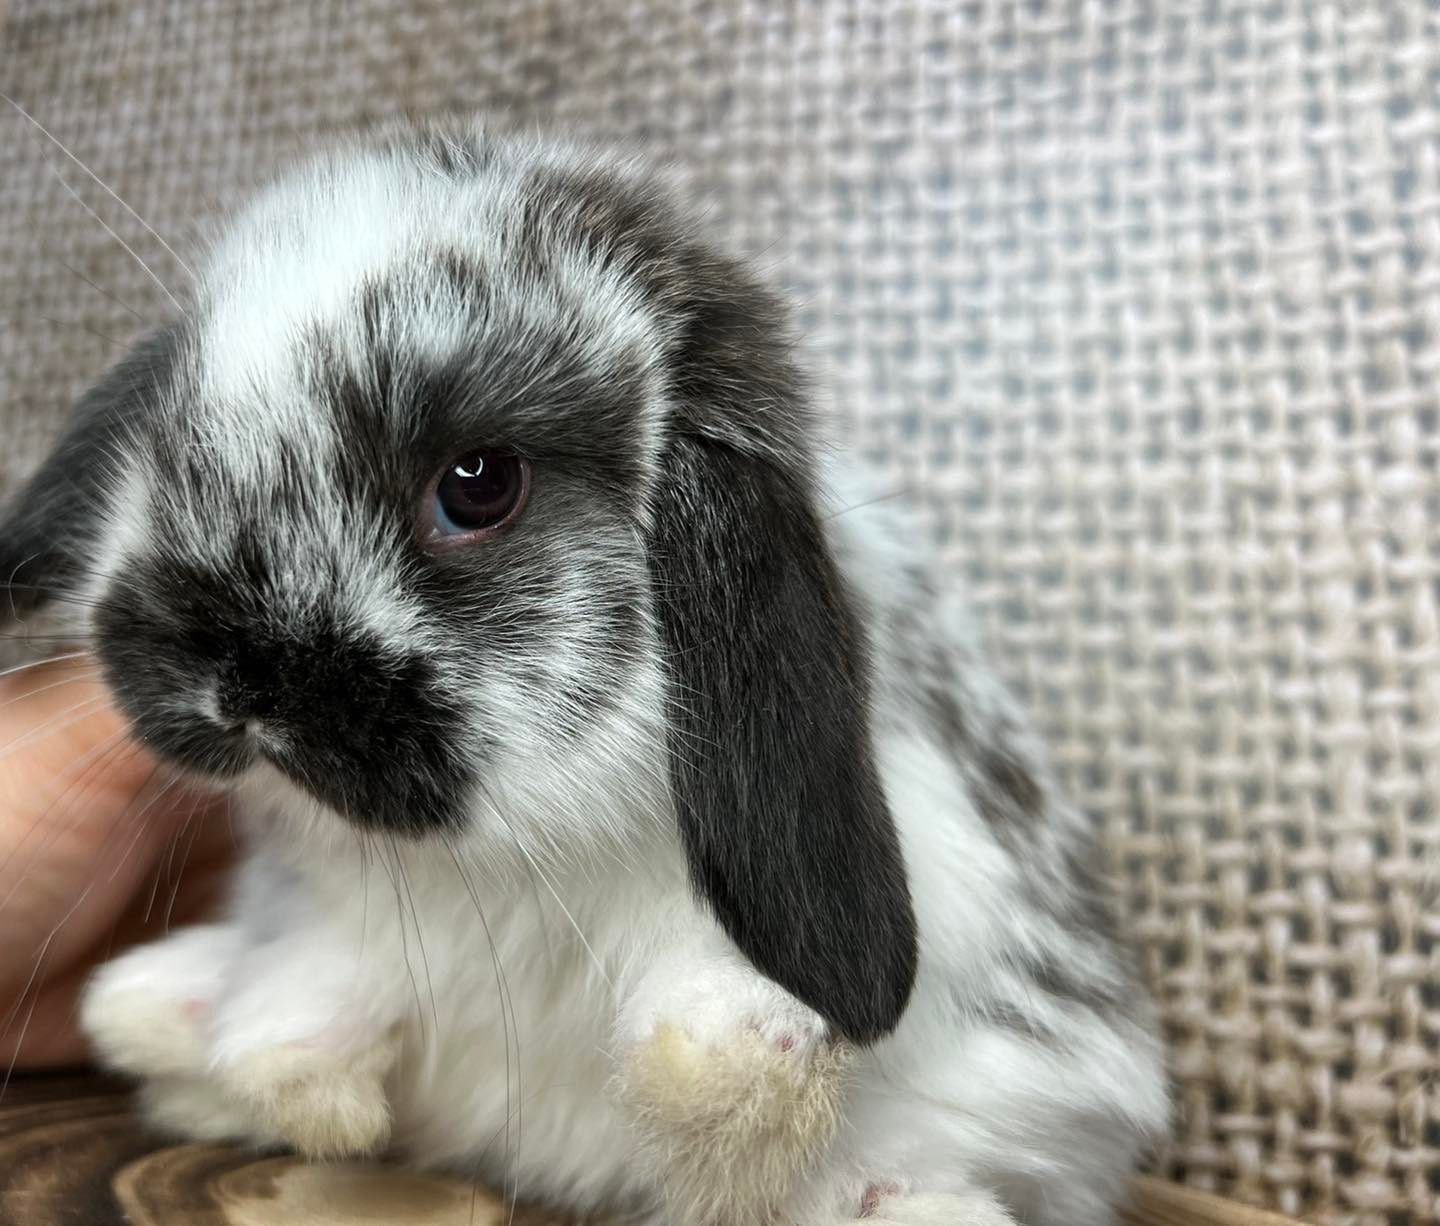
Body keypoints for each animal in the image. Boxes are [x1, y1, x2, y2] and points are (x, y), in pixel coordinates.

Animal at [0, 122, 1163, 1226]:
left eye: (477, 483)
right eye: (171, 439)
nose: (236, 684)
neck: (508, 868)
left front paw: (733, 1055)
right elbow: (302, 1015)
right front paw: (292, 1070)